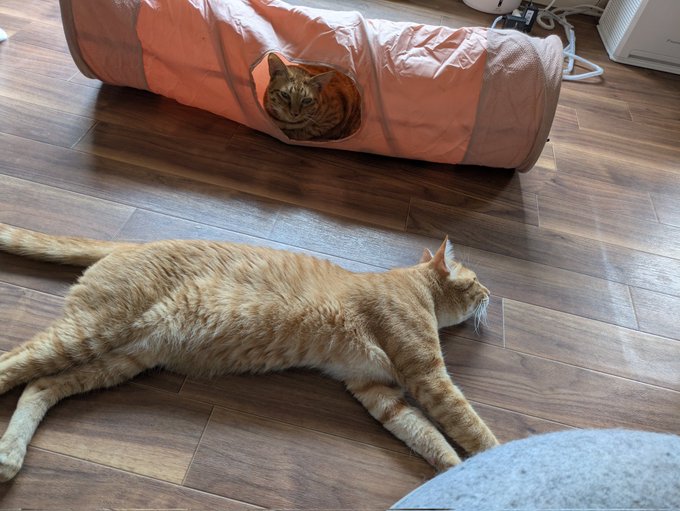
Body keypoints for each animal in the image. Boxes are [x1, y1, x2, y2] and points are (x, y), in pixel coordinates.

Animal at [0, 222, 498, 481]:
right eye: (476, 281)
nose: (491, 293)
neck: (414, 287)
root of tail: (131, 245)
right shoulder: (427, 374)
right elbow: (469, 425)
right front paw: (500, 457)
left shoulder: (376, 391)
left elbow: (427, 436)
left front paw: (458, 473)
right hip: (90, 332)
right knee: (12, 363)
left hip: (120, 360)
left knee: (39, 385)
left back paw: (10, 454)